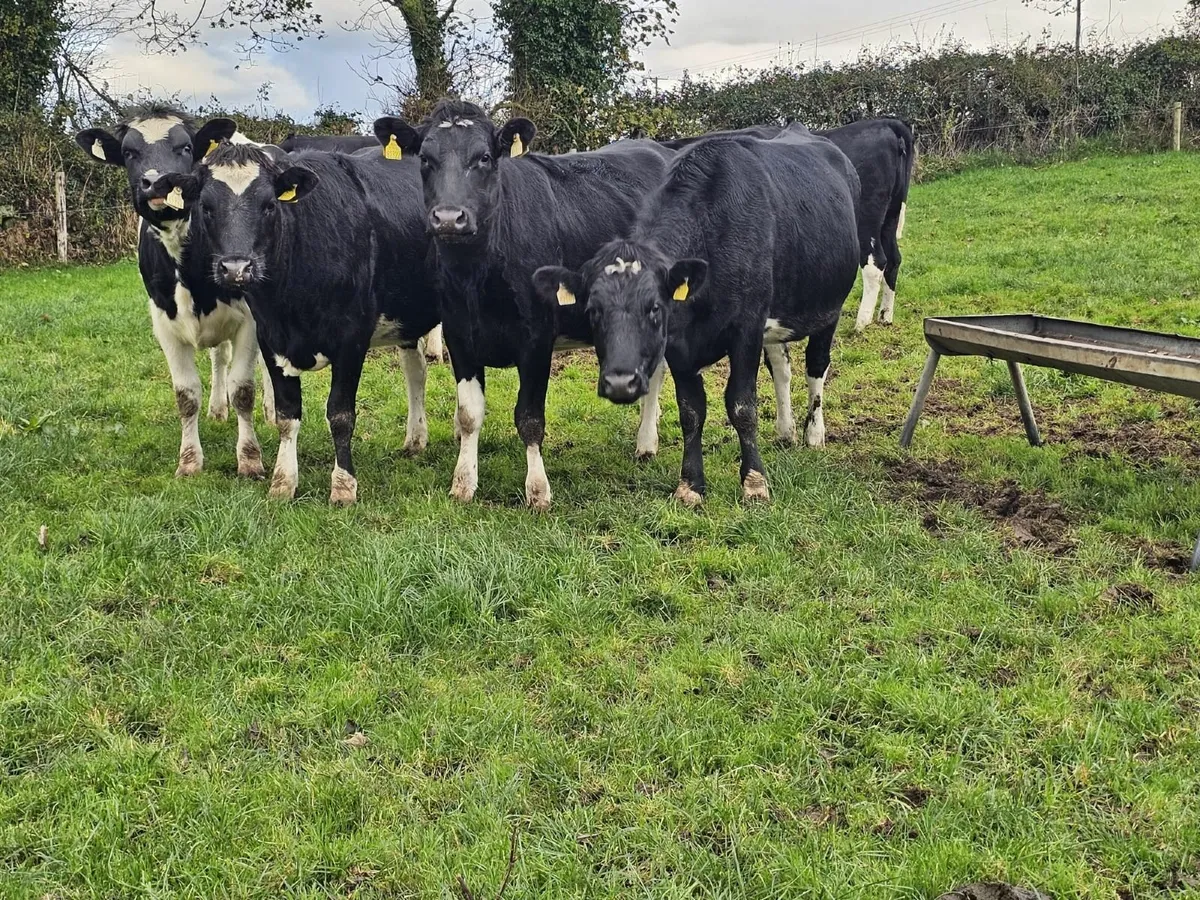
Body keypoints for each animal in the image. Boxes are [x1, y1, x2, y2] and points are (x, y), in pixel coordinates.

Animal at [74, 104, 272, 479]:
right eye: (128, 152)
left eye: (185, 148)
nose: (156, 182)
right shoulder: (164, 322)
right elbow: (186, 395)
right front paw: (189, 461)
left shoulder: (250, 320)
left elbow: (243, 390)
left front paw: (250, 460)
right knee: (218, 358)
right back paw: (218, 409)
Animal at [151, 138, 438, 505]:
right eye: (207, 207)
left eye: (269, 205)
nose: (236, 269)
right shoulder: (269, 337)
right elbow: (287, 414)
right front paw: (283, 481)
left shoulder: (351, 340)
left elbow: (340, 415)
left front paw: (343, 485)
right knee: (416, 372)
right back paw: (415, 439)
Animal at [372, 100, 674, 511]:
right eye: (424, 159)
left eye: (484, 157)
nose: (449, 218)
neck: (479, 275)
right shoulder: (459, 334)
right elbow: (469, 414)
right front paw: (463, 482)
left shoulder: (536, 339)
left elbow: (530, 417)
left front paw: (538, 489)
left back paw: (646, 443)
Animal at [532, 126, 861, 505]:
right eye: (593, 310)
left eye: (655, 307)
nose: (620, 383)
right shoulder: (680, 346)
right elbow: (691, 410)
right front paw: (690, 484)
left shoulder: (746, 329)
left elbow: (742, 405)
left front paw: (754, 481)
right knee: (782, 367)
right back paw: (785, 429)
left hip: (829, 309)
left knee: (816, 367)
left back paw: (814, 434)